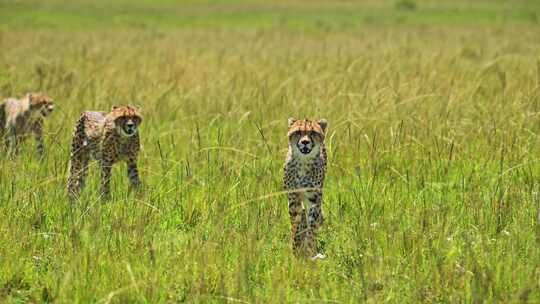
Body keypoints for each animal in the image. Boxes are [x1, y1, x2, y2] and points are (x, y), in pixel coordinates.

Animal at [282, 116, 330, 256]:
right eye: (298, 132)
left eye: (312, 133)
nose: (304, 142)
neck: (303, 162)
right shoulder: (293, 196)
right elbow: (296, 224)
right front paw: (296, 248)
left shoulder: (314, 198)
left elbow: (312, 225)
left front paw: (309, 249)